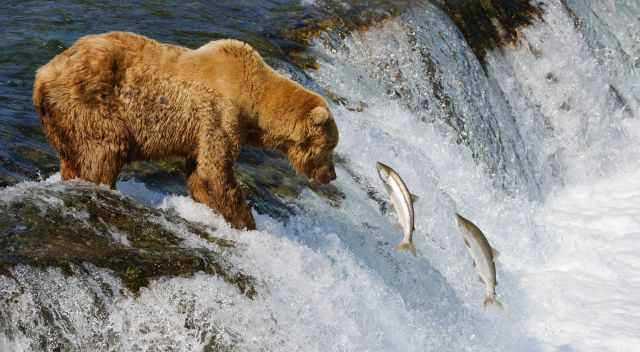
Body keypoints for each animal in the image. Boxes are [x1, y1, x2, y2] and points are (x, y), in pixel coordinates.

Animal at [33, 32, 340, 231]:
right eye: (331, 146)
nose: (331, 175)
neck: (253, 105)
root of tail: (42, 74)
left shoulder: (201, 131)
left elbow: (198, 172)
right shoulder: (219, 116)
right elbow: (215, 171)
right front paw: (245, 221)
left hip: (60, 121)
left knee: (72, 157)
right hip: (90, 103)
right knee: (105, 150)